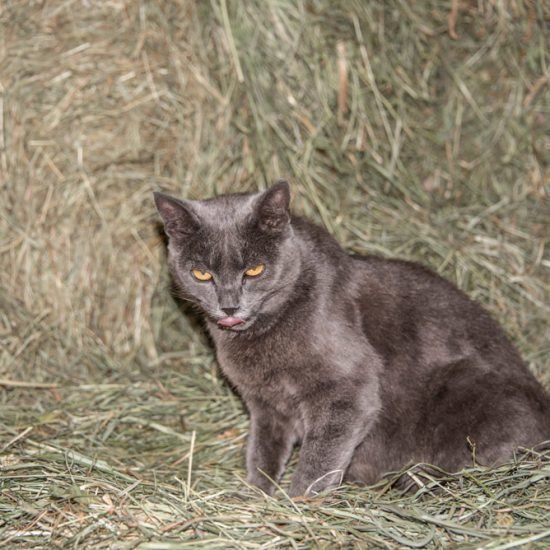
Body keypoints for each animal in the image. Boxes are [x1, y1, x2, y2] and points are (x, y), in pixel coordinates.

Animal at [154, 182, 550, 500]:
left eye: (254, 270)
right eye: (201, 274)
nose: (229, 305)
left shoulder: (348, 392)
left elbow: (319, 459)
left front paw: (297, 506)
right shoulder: (265, 406)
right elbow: (261, 453)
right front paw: (255, 496)